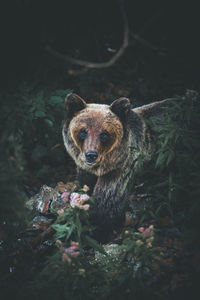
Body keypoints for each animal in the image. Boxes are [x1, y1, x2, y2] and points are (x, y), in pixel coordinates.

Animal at [62, 92, 173, 236]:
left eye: (104, 134)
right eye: (83, 131)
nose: (91, 155)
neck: (102, 168)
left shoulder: (120, 172)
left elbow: (107, 204)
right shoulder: (85, 171)